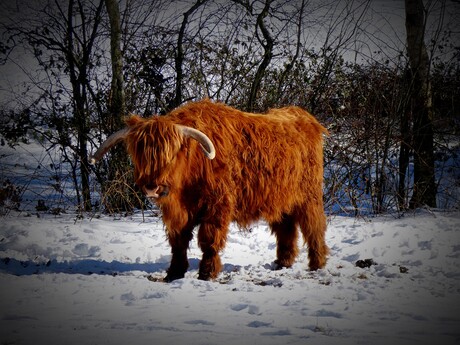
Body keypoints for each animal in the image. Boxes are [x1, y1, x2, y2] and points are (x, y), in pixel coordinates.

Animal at [89, 99, 328, 280]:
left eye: (171, 154)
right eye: (139, 155)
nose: (151, 186)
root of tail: (306, 117)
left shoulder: (217, 205)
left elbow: (209, 240)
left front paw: (207, 273)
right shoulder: (177, 212)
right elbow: (178, 241)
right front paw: (174, 273)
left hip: (309, 196)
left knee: (313, 226)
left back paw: (317, 263)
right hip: (280, 198)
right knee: (285, 228)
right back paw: (283, 262)